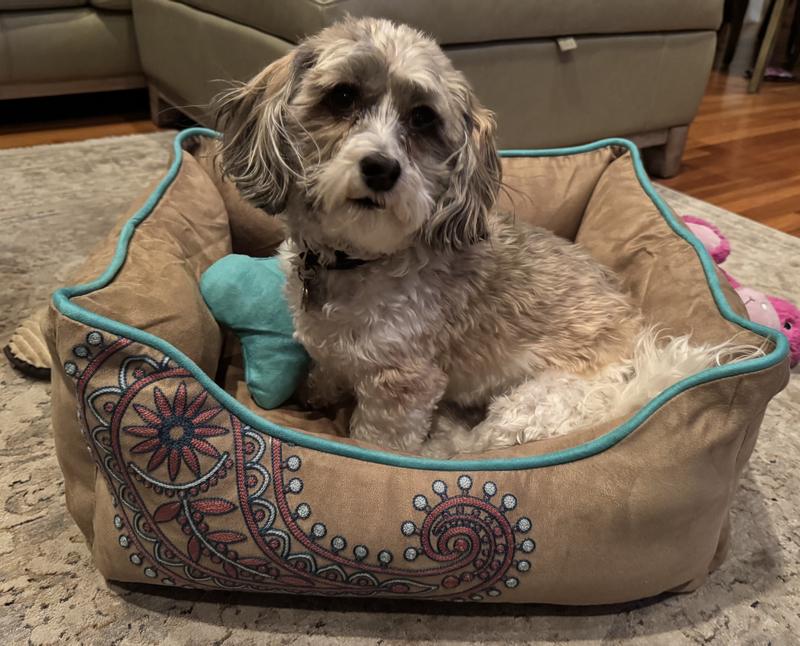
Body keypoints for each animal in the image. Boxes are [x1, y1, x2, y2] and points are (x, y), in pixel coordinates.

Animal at [215, 18, 758, 457]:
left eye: (423, 118)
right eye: (342, 97)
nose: (382, 168)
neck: (354, 259)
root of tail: (639, 372)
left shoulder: (403, 381)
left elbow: (380, 441)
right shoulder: (332, 347)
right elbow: (326, 367)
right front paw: (316, 392)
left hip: (532, 407)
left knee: (471, 447)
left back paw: (447, 436)